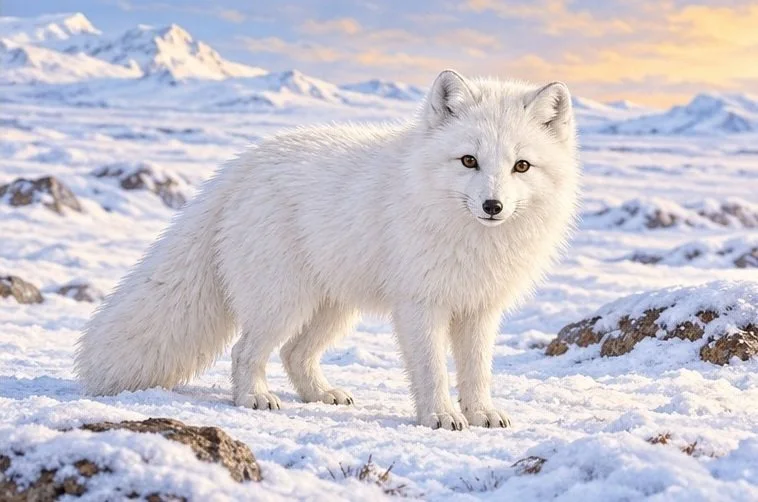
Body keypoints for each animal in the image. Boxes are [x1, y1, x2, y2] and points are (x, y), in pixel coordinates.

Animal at [76, 70, 580, 430]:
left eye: (521, 166)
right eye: (469, 160)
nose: (493, 206)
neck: (473, 239)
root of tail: (242, 165)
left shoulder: (480, 307)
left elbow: (477, 371)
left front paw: (480, 414)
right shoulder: (420, 304)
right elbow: (433, 369)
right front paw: (440, 417)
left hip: (333, 308)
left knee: (294, 354)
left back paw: (321, 395)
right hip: (284, 302)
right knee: (245, 351)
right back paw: (254, 398)